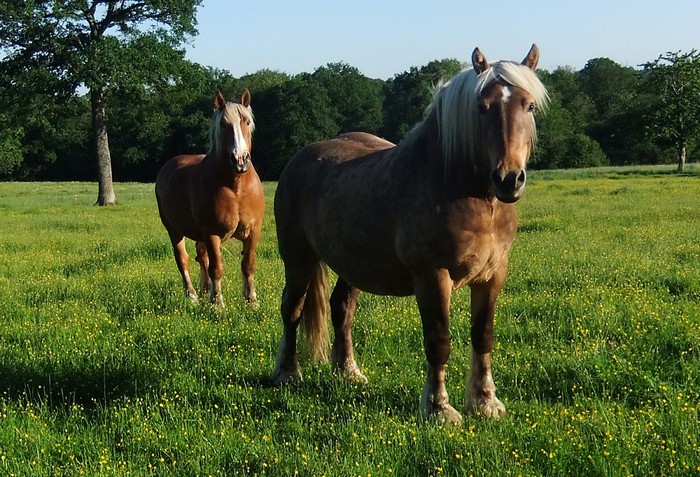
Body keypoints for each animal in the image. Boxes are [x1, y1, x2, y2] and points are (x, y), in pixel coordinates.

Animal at [156, 90, 266, 308]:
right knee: (183, 259)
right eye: (223, 124)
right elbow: (217, 267)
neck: (236, 187)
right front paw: (218, 304)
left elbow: (248, 264)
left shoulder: (253, 230)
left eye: (247, 121)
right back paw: (193, 296)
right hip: (173, 230)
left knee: (201, 257)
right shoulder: (212, 233)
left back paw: (205, 290)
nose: (240, 160)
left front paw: (251, 301)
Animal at [270, 45, 548, 424]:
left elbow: (483, 336)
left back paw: (348, 372)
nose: (509, 179)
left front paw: (485, 401)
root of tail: (299, 160)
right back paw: (287, 372)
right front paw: (439, 408)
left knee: (341, 309)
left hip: (352, 265)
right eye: (482, 107)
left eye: (528, 105)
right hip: (297, 258)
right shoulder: (432, 276)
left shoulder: (493, 275)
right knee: (292, 309)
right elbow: (438, 341)